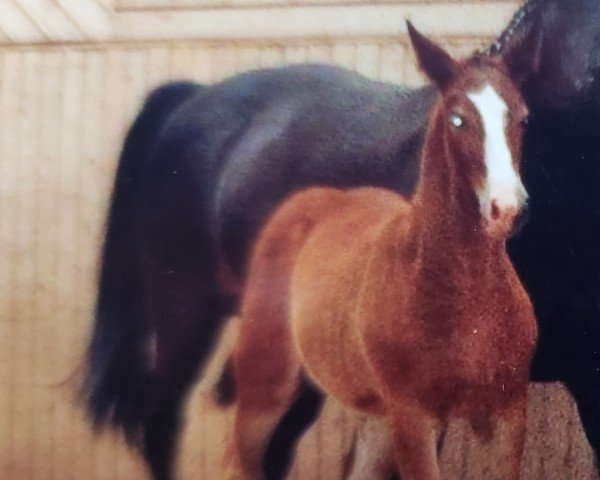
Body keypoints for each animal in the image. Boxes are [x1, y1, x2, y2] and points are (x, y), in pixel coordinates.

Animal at [227, 23, 536, 480]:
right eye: (458, 119)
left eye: (522, 117)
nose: (506, 209)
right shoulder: (415, 419)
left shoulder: (508, 414)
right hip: (267, 385)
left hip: (374, 418)